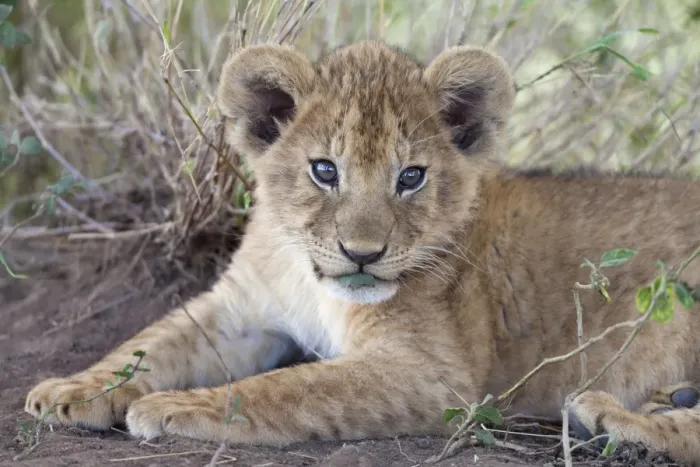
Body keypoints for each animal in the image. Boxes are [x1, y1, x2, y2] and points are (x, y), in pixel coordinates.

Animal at [25, 40, 700, 464]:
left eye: (411, 177)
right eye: (324, 170)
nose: (363, 254)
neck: (308, 276)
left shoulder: (434, 376)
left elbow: (287, 389)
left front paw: (169, 405)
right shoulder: (239, 311)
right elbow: (149, 342)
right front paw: (68, 392)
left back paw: (613, 421)